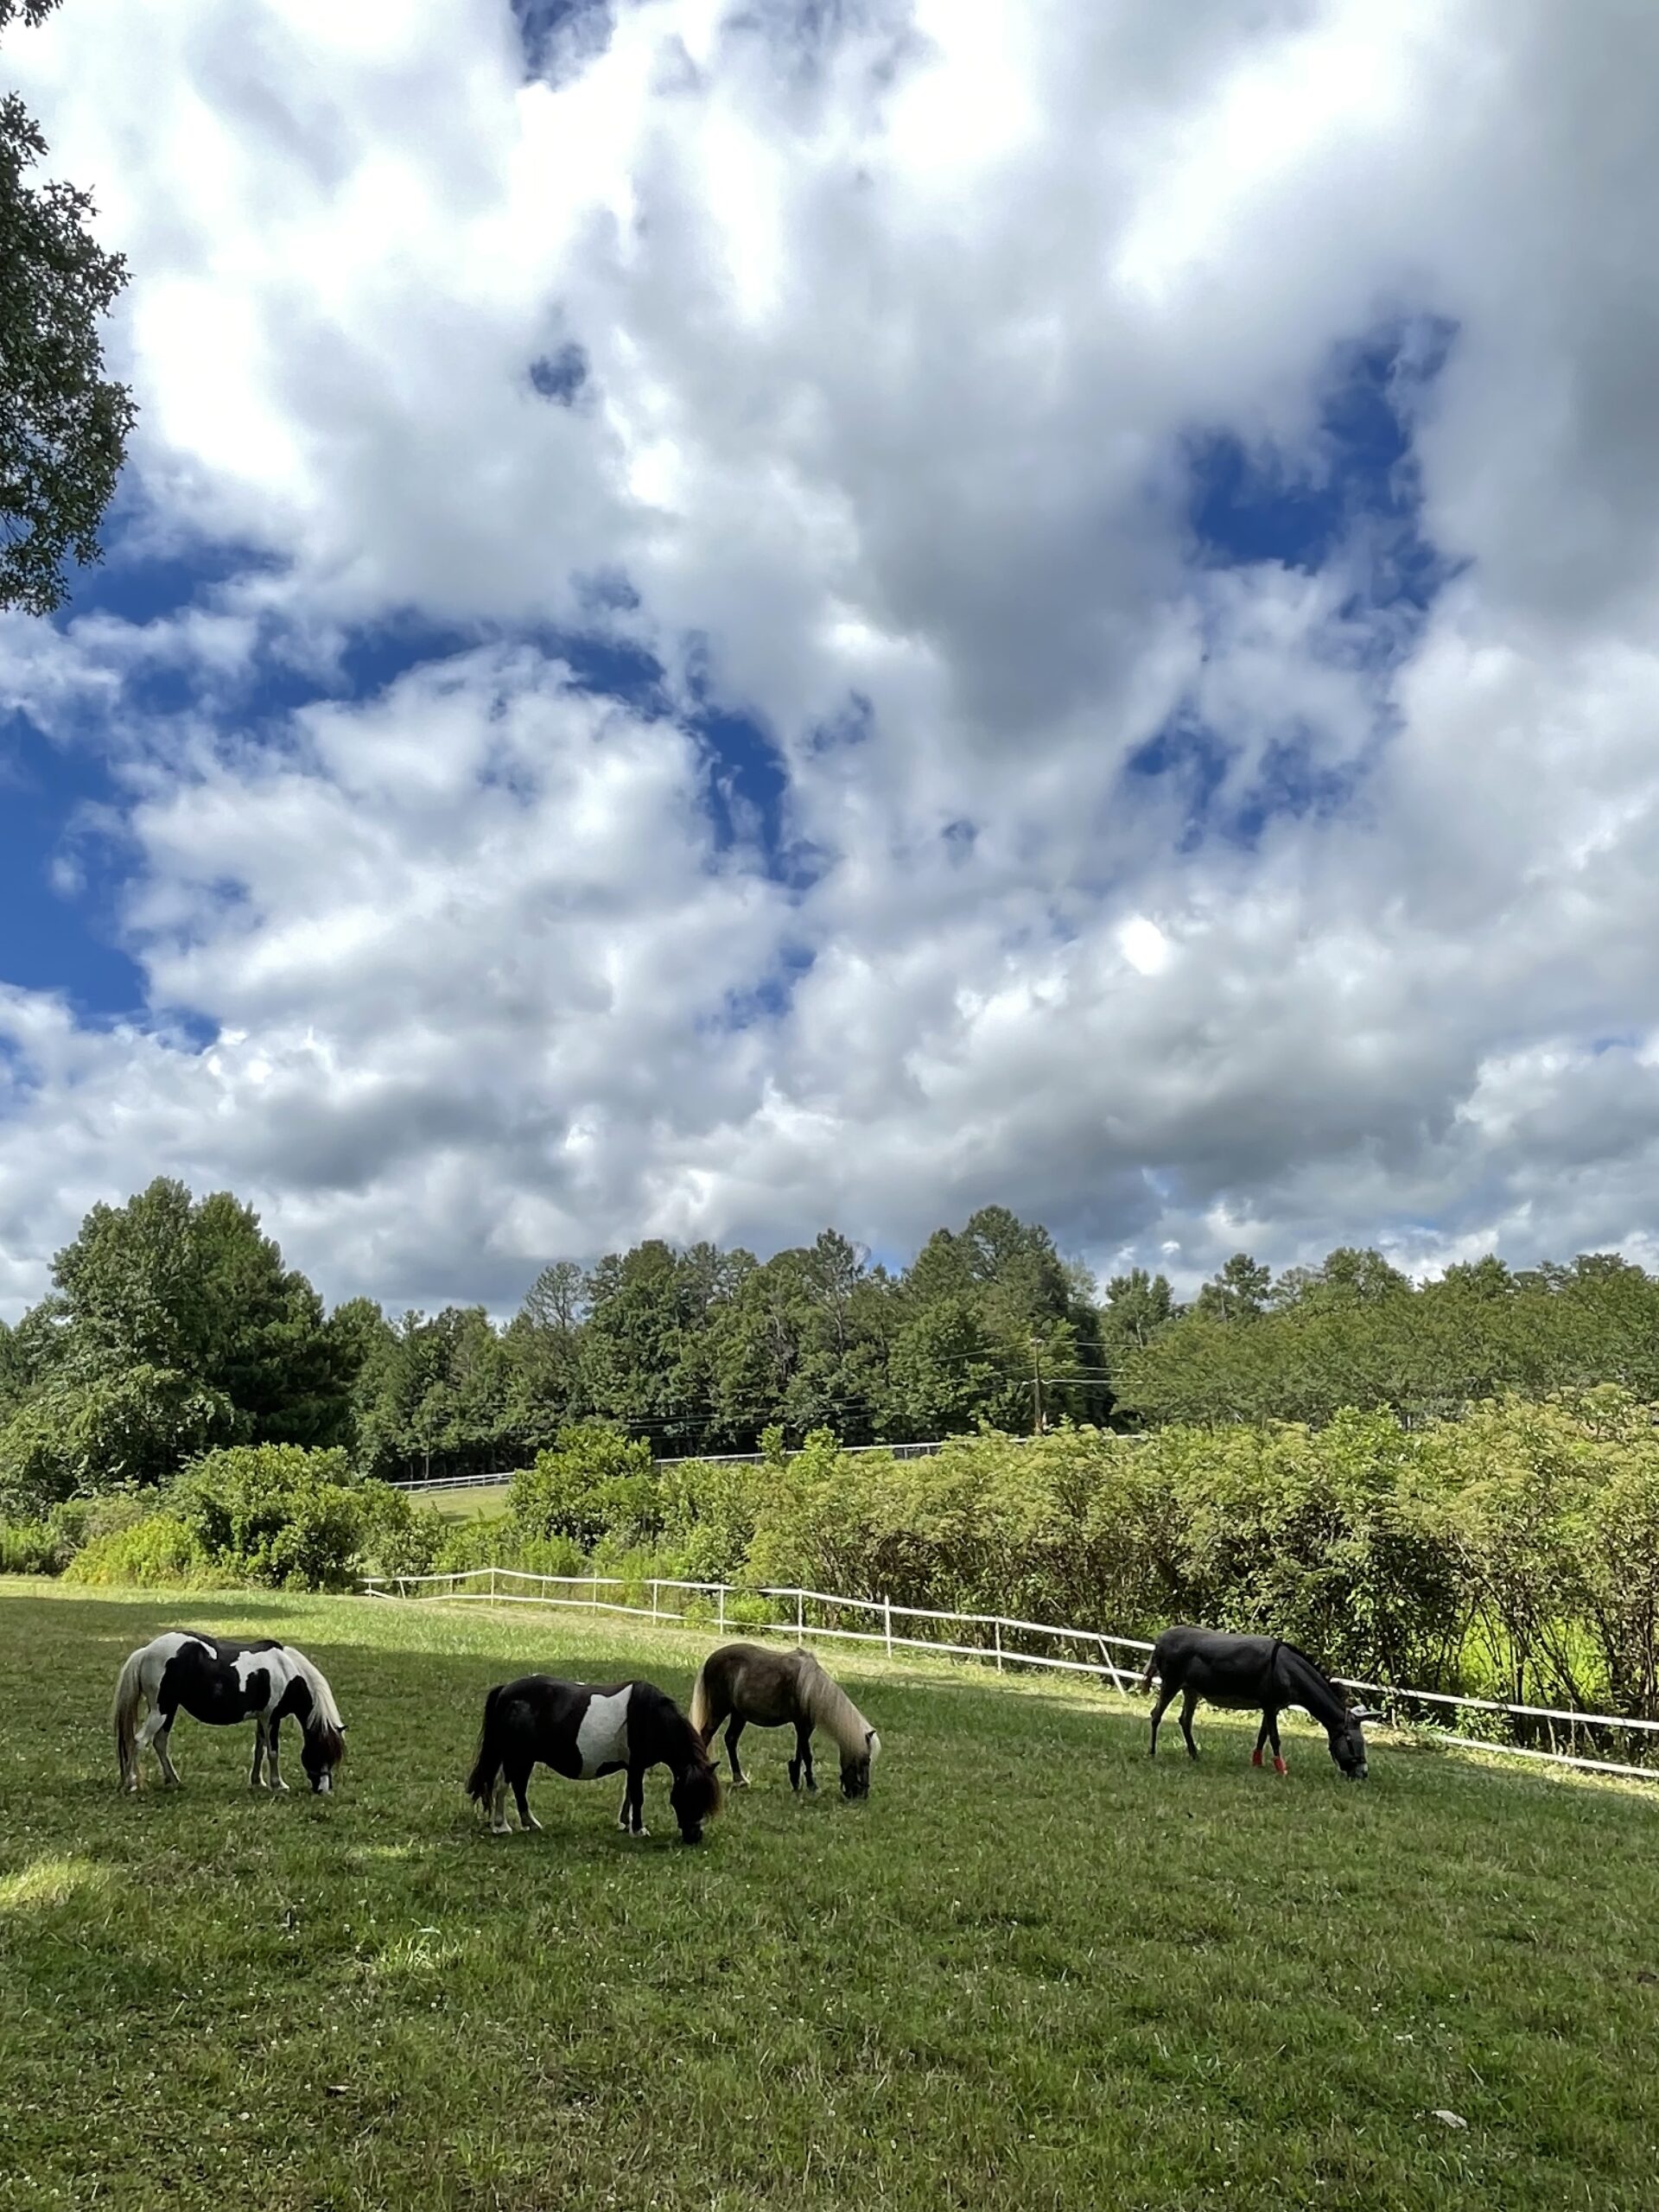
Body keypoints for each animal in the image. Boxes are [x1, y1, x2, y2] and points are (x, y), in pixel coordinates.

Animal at [111, 1628, 346, 1796]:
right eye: (321, 1751)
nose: (324, 1790)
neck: (287, 1672)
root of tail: (146, 1652)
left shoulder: (262, 1718)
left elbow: (259, 1749)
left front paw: (257, 1782)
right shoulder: (272, 1717)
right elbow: (273, 1752)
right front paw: (278, 1785)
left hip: (168, 1710)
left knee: (159, 1742)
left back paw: (174, 1781)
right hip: (161, 1710)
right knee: (139, 1741)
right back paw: (131, 1784)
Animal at [468, 1672, 725, 1849]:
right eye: (689, 1797)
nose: (694, 1837)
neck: (651, 1716)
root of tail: (506, 1691)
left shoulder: (633, 1767)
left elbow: (629, 1795)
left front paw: (625, 1824)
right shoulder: (637, 1765)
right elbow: (637, 1796)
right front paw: (639, 1830)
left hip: (525, 1757)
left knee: (518, 1786)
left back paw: (529, 1823)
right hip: (517, 1755)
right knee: (504, 1785)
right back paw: (501, 1826)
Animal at [690, 1645, 885, 1796]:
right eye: (865, 1761)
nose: (862, 1795)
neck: (811, 1688)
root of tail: (710, 1659)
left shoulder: (806, 1727)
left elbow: (800, 1753)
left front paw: (796, 1781)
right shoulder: (801, 1724)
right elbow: (807, 1755)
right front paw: (812, 1786)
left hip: (739, 1715)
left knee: (730, 1739)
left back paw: (740, 1779)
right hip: (720, 1710)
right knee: (706, 1736)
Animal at [1141, 1628, 1380, 1778]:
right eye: (1352, 1741)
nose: (1364, 1774)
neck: (1287, 1669)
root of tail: (1161, 1638)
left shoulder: (1271, 1707)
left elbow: (1262, 1736)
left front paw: (1257, 1763)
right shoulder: (1270, 1706)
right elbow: (1274, 1738)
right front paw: (1282, 1770)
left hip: (1191, 1690)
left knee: (1185, 1721)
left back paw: (1195, 1755)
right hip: (1171, 1683)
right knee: (1156, 1715)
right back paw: (1152, 1753)